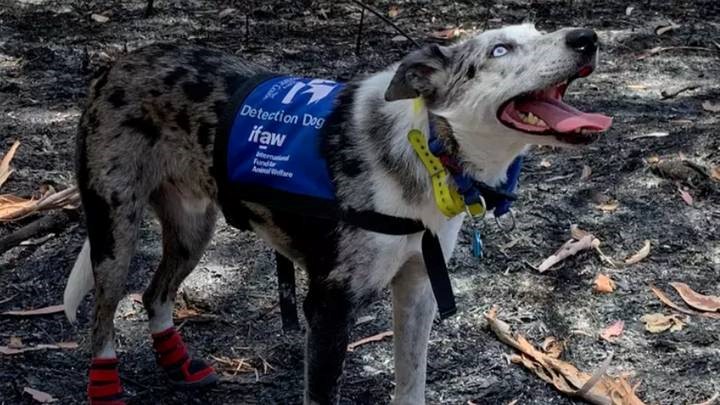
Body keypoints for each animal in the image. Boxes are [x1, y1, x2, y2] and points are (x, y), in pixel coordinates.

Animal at [63, 23, 612, 402]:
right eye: (500, 50)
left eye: (538, 31)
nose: (587, 39)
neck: (428, 151)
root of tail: (117, 65)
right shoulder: (328, 309)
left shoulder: (417, 290)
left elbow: (410, 385)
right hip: (114, 231)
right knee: (103, 317)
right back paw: (106, 386)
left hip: (192, 229)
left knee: (154, 294)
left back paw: (177, 365)